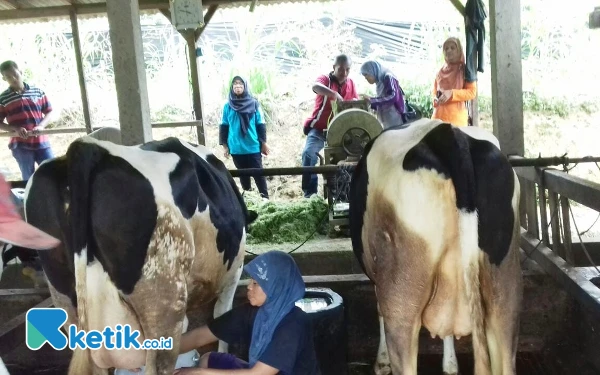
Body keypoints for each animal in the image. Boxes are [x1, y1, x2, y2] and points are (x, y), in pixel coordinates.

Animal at [350, 119, 524, 375]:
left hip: (402, 294)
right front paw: (450, 365)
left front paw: (381, 362)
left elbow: (379, 310)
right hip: (505, 288)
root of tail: (447, 135)